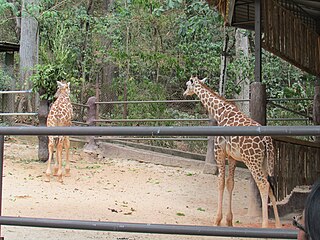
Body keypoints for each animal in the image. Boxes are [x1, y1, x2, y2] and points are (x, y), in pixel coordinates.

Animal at [182, 76, 280, 228]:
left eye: (187, 85)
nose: (184, 93)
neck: (219, 111)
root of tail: (266, 140)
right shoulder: (233, 157)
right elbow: (230, 183)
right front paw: (229, 220)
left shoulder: (219, 152)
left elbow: (221, 182)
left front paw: (217, 220)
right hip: (266, 161)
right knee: (272, 185)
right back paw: (278, 225)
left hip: (252, 161)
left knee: (264, 185)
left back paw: (264, 226)